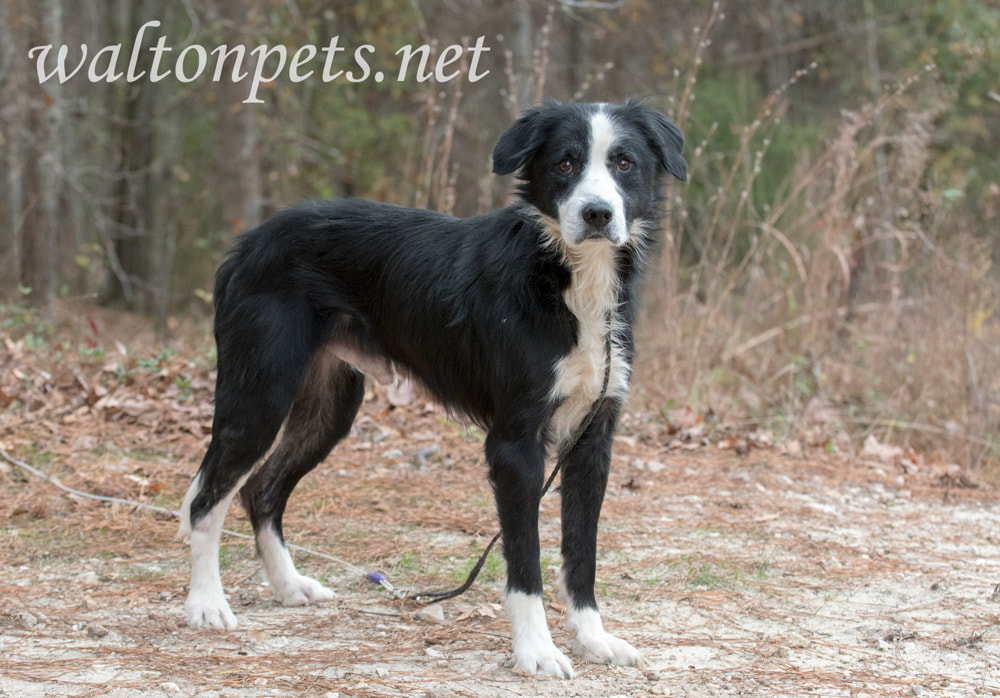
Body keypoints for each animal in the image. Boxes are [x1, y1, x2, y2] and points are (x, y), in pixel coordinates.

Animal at [176, 99, 684, 676]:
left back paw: (289, 586)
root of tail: (249, 242)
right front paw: (535, 651)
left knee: (261, 490)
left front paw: (594, 639)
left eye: (623, 163)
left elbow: (582, 554)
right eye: (564, 164)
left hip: (329, 408)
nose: (598, 214)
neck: (565, 277)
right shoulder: (514, 445)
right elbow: (525, 562)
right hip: (259, 396)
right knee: (205, 501)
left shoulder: (591, 442)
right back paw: (206, 604)